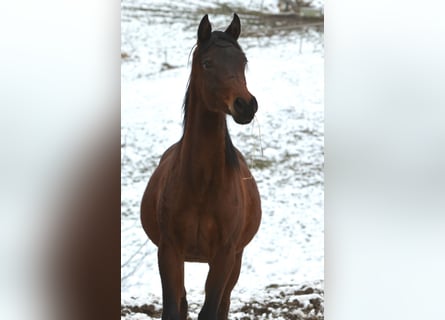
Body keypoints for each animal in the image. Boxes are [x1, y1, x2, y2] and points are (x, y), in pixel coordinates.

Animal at [140, 13, 260, 320]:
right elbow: (172, 309)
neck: (202, 185)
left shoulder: (225, 256)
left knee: (224, 304)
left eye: (243, 61)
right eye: (207, 63)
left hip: (236, 260)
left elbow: (211, 309)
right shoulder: (169, 251)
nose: (246, 105)